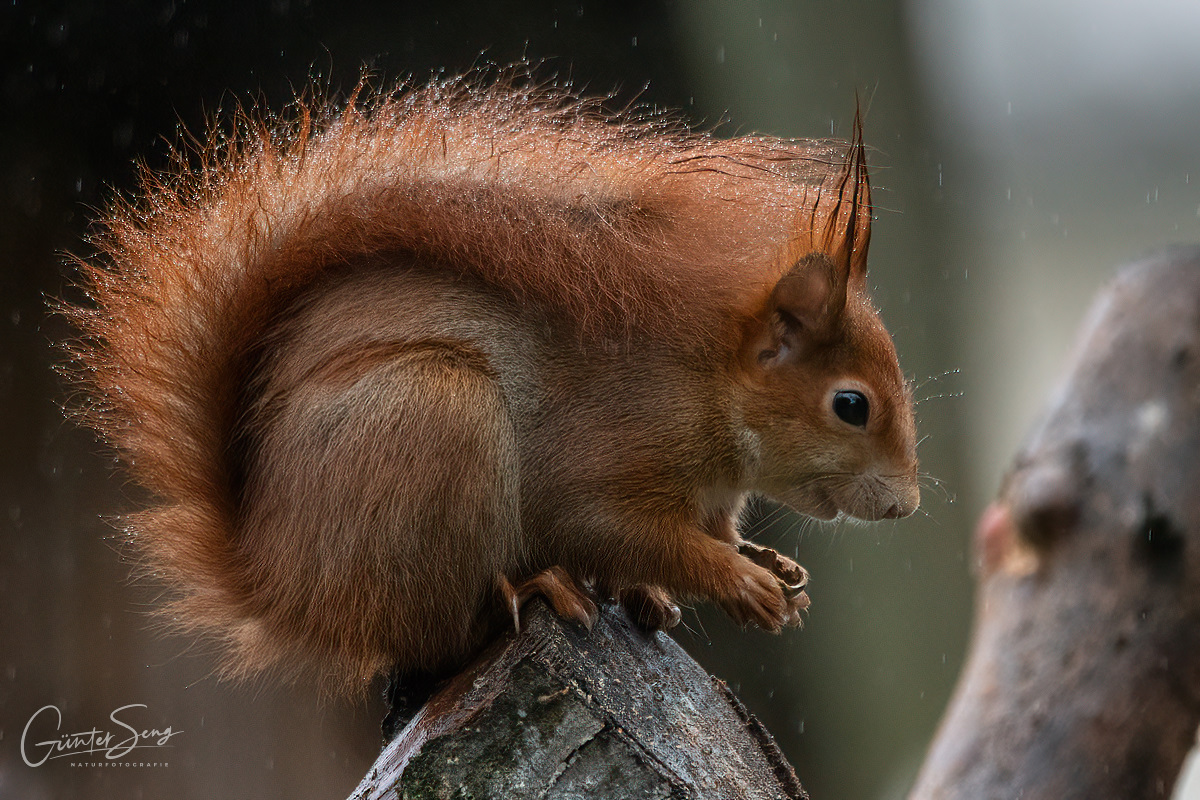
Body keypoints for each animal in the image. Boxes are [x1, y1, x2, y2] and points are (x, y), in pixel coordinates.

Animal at [65, 77, 916, 695]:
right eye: (851, 405)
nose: (905, 505)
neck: (711, 393)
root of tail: (273, 581)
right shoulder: (609, 448)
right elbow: (611, 527)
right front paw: (740, 581)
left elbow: (703, 535)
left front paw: (769, 565)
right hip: (435, 423)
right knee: (439, 636)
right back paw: (535, 589)